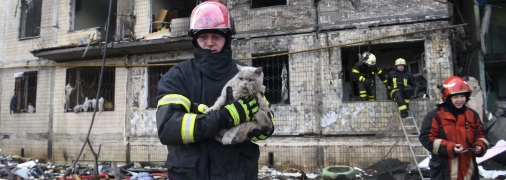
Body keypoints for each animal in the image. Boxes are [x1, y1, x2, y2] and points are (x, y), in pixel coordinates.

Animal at [155, 0, 274, 179]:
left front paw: (228, 136)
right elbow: (220, 103)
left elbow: (236, 126)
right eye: (241, 79)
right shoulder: (225, 93)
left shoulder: (249, 113)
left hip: (254, 122)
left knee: (239, 132)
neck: (239, 94)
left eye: (250, 80)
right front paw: (213, 109)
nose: (245, 84)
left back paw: (225, 137)